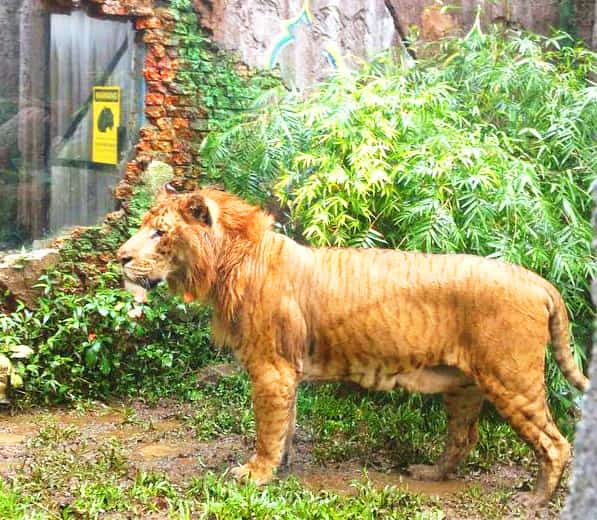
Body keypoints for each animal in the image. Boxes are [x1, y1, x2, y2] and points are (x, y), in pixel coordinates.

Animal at [116, 185, 588, 506]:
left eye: (159, 233)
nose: (120, 257)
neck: (228, 264)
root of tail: (538, 280)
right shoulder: (285, 372)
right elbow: (285, 425)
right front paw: (281, 468)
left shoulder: (271, 367)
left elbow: (268, 429)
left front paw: (256, 474)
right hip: (464, 385)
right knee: (463, 437)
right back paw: (430, 472)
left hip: (511, 378)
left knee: (555, 443)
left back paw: (534, 499)